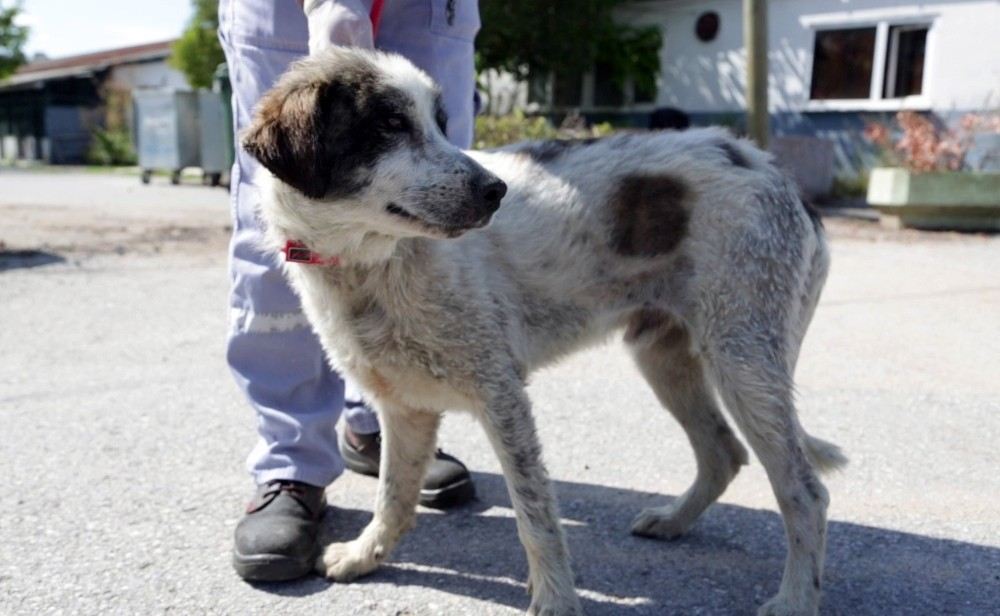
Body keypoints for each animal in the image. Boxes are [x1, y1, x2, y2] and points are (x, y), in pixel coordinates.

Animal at [240, 45, 844, 612]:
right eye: (387, 124)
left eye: (440, 122)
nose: (494, 190)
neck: (373, 265)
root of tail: (777, 173)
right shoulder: (404, 408)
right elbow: (393, 495)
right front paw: (367, 554)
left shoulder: (501, 395)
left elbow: (535, 516)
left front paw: (555, 599)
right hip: (666, 358)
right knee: (723, 452)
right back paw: (674, 521)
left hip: (743, 360)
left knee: (804, 492)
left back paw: (796, 598)